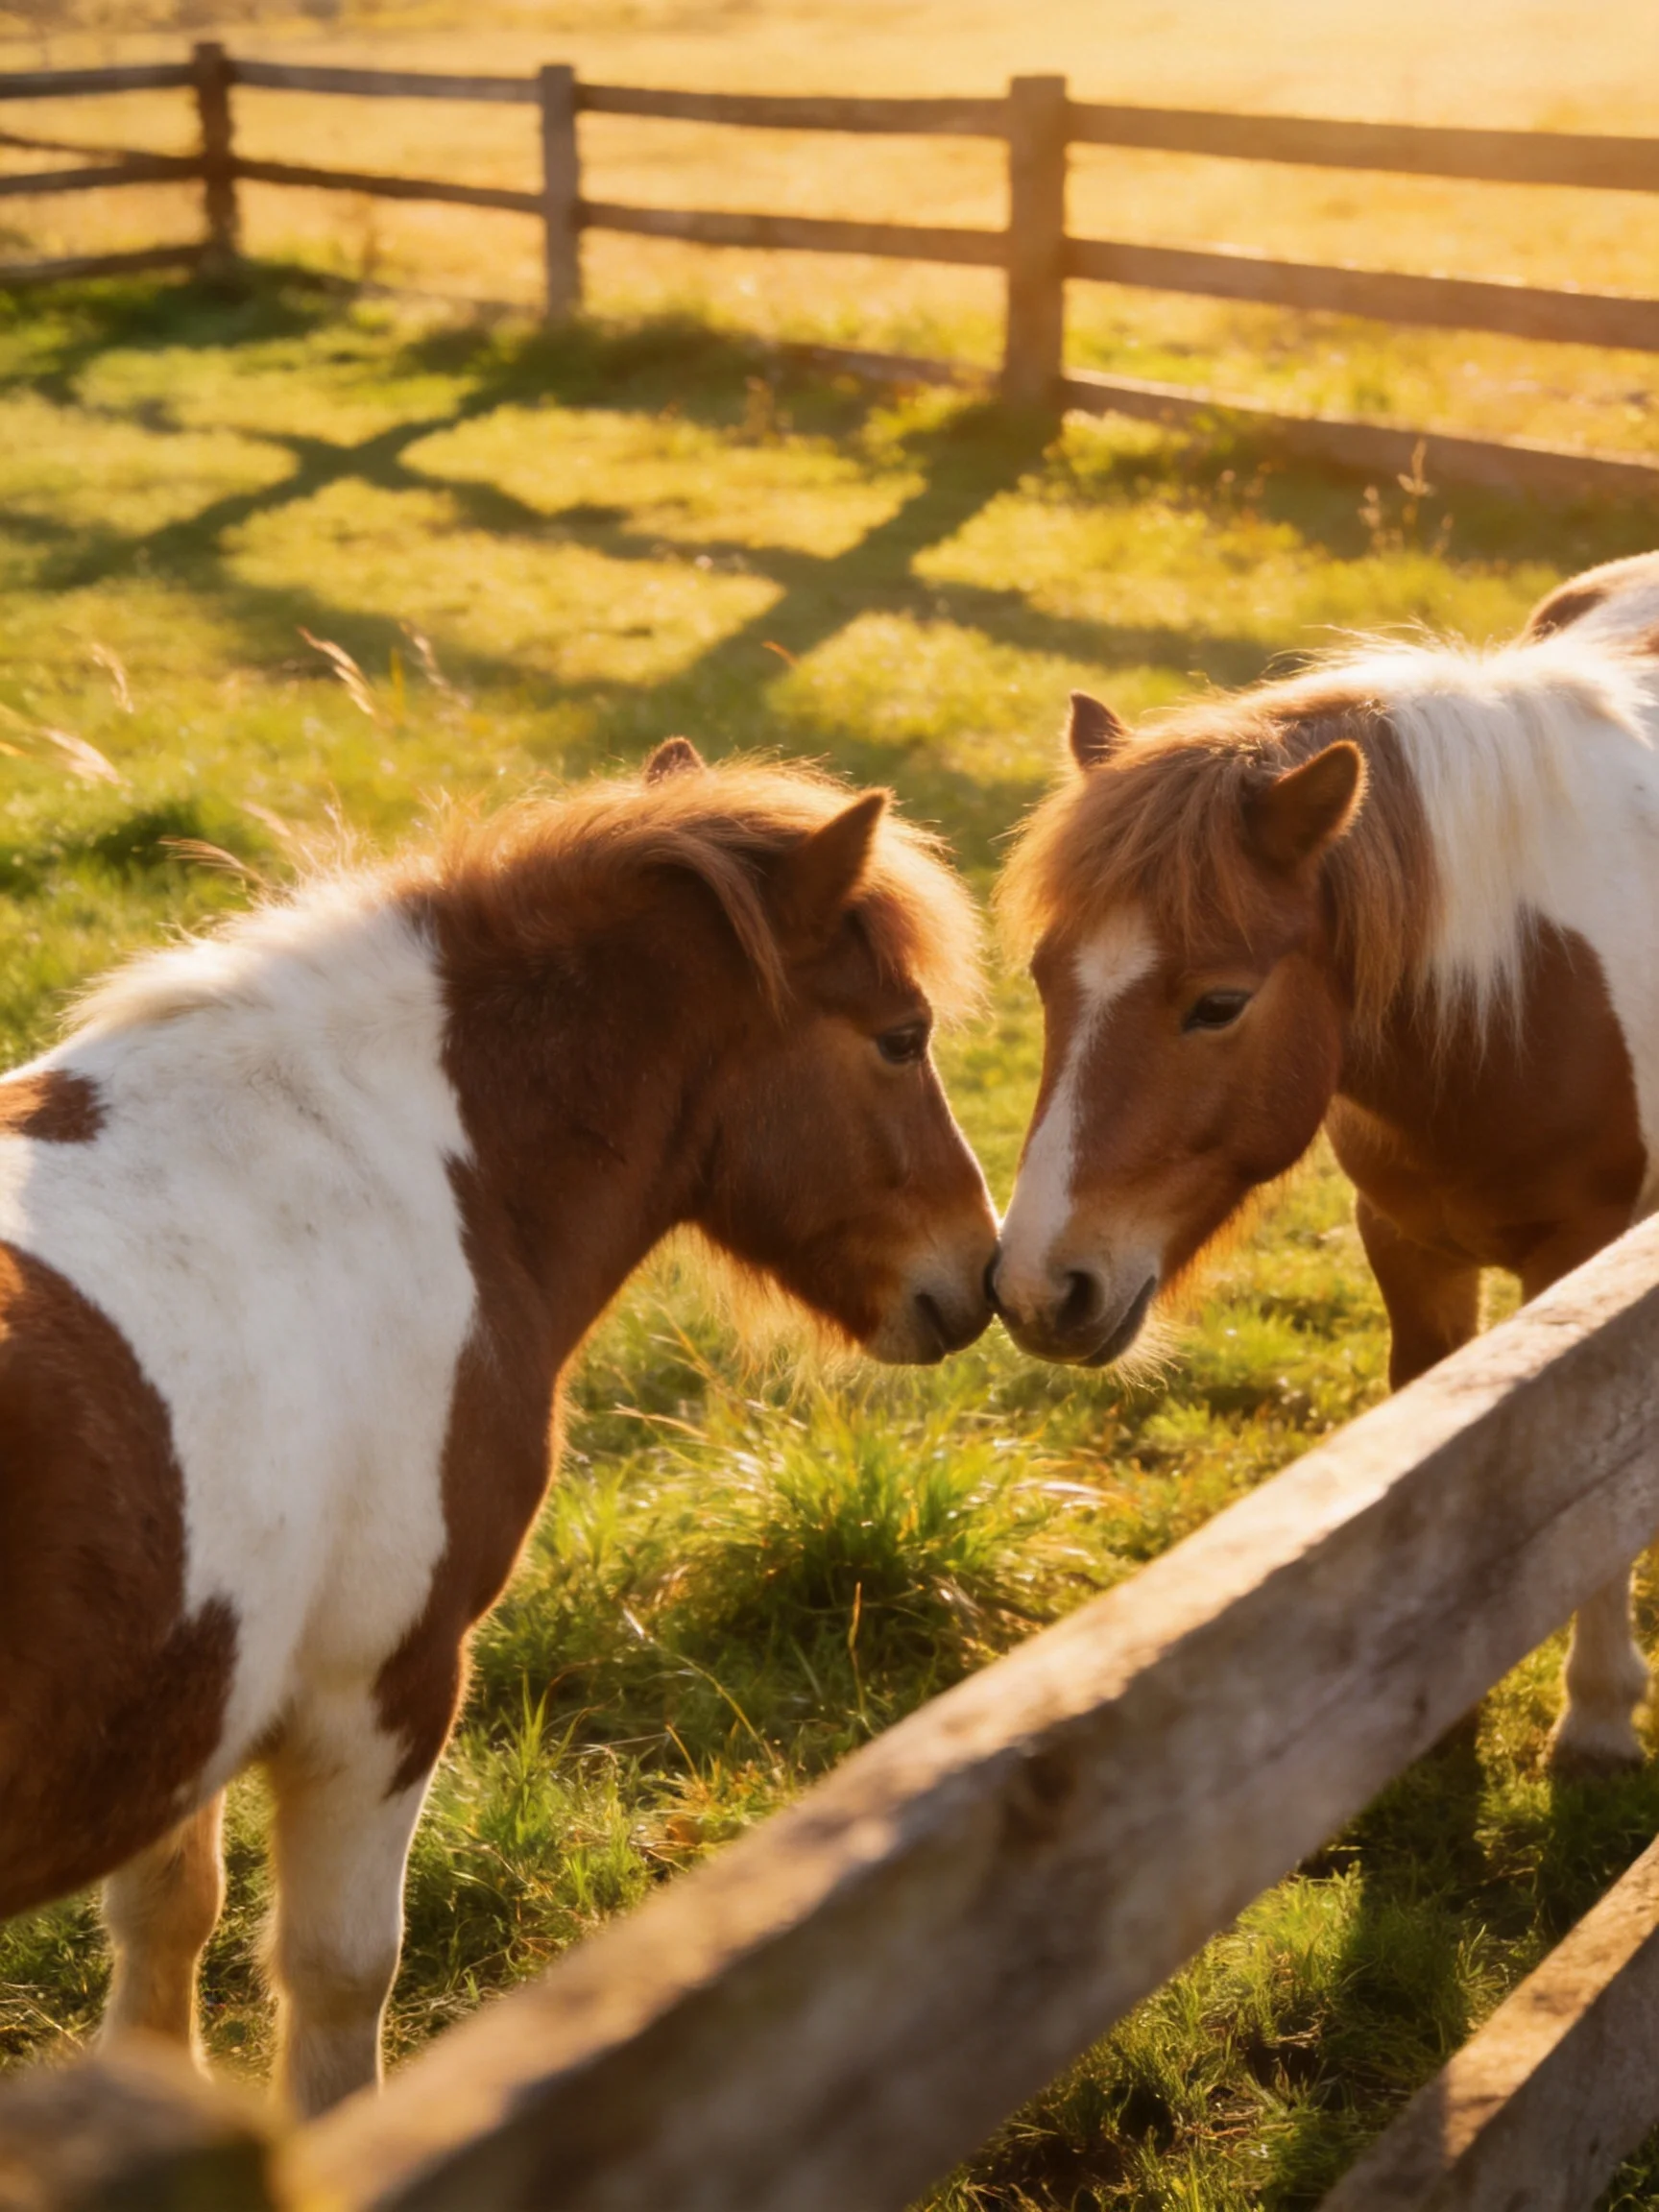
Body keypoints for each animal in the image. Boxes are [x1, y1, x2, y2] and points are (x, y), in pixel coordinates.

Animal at [0, 739, 996, 2115]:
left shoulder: (187, 1698)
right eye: (902, 1039)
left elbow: (164, 1923)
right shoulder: (381, 1693)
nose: (984, 1270)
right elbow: (338, 1980)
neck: (393, 1164)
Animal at [990, 557, 1659, 1774]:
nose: (1034, 1289)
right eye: (1046, 979)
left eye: (1220, 1002)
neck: (1522, 983)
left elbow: (1601, 1489)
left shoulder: (1589, 1270)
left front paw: (1595, 1715)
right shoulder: (1408, 1244)